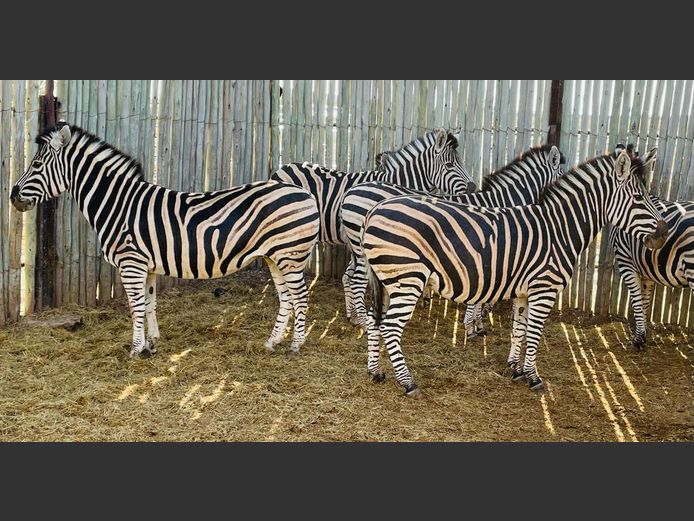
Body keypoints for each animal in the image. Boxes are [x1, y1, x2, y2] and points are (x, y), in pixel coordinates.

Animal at [11, 124, 320, 359]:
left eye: (36, 164)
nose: (13, 196)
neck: (118, 204)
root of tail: (303, 192)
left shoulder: (131, 263)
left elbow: (135, 306)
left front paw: (135, 349)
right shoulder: (146, 266)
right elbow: (149, 304)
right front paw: (151, 344)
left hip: (289, 256)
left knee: (300, 297)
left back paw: (295, 346)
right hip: (275, 257)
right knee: (286, 299)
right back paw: (272, 342)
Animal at [340, 145, 565, 335]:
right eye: (562, 176)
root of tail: (353, 190)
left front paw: (477, 323)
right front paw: (473, 326)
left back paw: (354, 317)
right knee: (358, 281)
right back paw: (363, 323)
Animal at [361, 151, 668, 397]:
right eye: (639, 198)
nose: (664, 234)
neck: (559, 230)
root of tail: (377, 208)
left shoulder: (523, 292)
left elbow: (519, 330)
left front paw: (516, 368)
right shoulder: (544, 289)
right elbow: (534, 333)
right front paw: (533, 377)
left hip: (387, 281)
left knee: (376, 322)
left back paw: (376, 372)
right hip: (407, 279)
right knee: (390, 327)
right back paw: (407, 382)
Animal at [609, 148, 694, 350]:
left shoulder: (625, 261)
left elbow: (637, 300)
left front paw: (639, 338)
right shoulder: (648, 271)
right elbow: (645, 301)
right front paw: (643, 332)